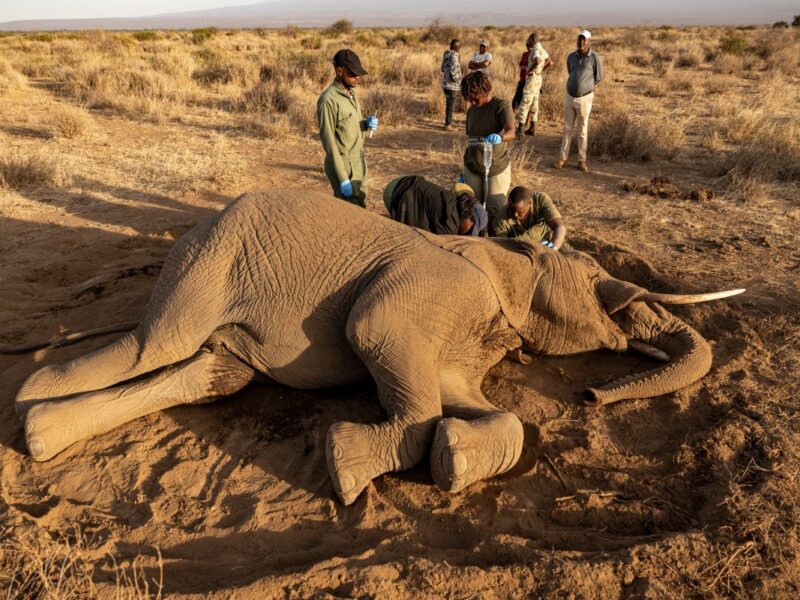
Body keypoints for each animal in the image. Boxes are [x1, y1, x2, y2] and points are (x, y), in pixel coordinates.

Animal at [14, 191, 743, 505]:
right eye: (595, 281)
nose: (592, 393)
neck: (500, 253)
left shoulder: (471, 330)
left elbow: (474, 405)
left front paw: (454, 459)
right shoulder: (433, 290)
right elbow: (375, 333)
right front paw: (345, 467)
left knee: (208, 375)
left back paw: (41, 434)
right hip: (209, 260)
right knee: (152, 345)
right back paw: (29, 395)